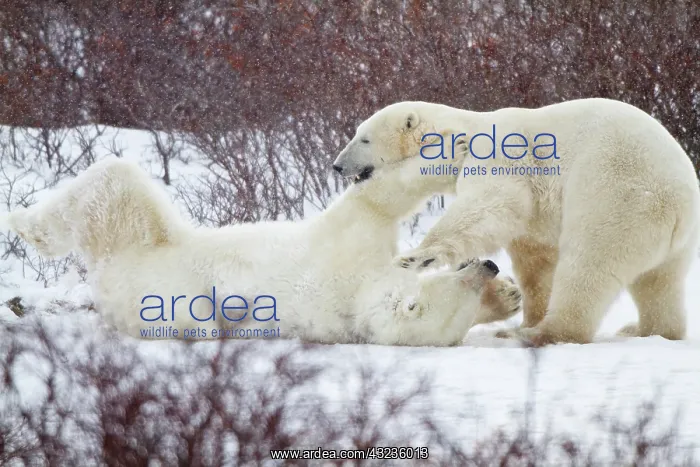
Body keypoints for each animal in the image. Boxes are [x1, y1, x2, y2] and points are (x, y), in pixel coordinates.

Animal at [4, 155, 522, 346]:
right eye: (461, 281)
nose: (490, 266)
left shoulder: (352, 265)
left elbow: (371, 201)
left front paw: (507, 296)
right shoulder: (359, 253)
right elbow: (378, 200)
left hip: (146, 273)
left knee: (115, 189)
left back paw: (25, 225)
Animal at [333, 98, 700, 345]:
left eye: (364, 138)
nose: (337, 165)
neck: (459, 131)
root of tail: (677, 203)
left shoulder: (497, 157)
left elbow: (489, 203)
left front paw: (417, 257)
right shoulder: (539, 211)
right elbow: (534, 257)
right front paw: (528, 312)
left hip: (615, 198)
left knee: (588, 266)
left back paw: (535, 334)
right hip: (674, 238)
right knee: (659, 282)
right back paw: (646, 330)